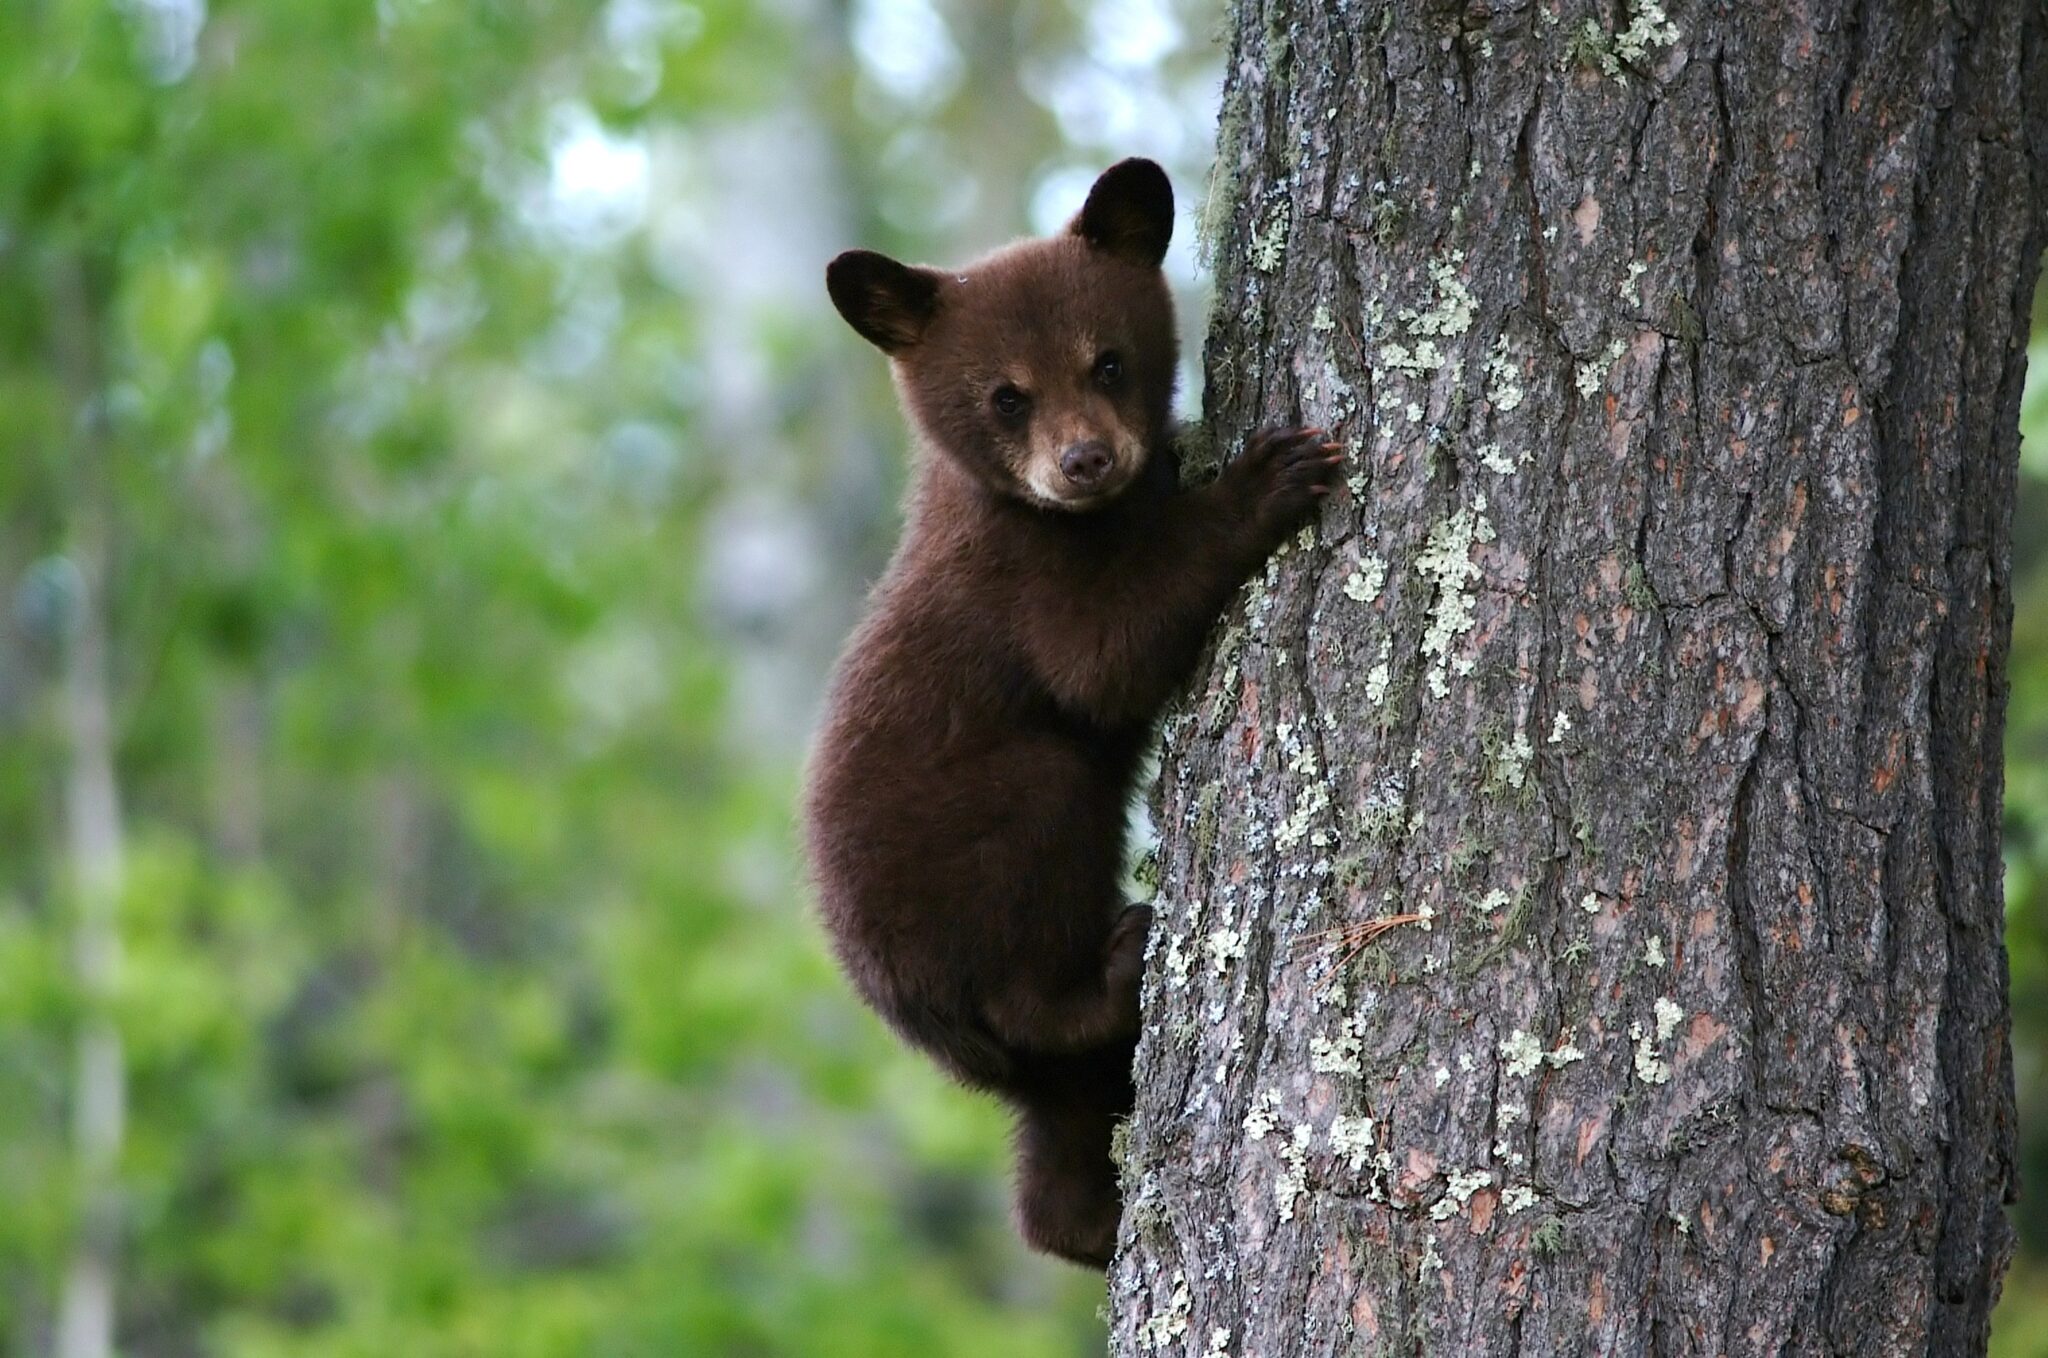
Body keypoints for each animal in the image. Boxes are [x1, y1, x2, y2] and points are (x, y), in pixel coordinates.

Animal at [802, 157, 1342, 1269]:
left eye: (1108, 361)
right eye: (1006, 395)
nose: (1085, 460)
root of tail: (912, 1016)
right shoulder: (1019, 581)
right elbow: (1105, 658)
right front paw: (1265, 477)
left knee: (1057, 1136)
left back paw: (1085, 1221)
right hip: (980, 851)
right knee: (1035, 915)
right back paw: (1117, 959)